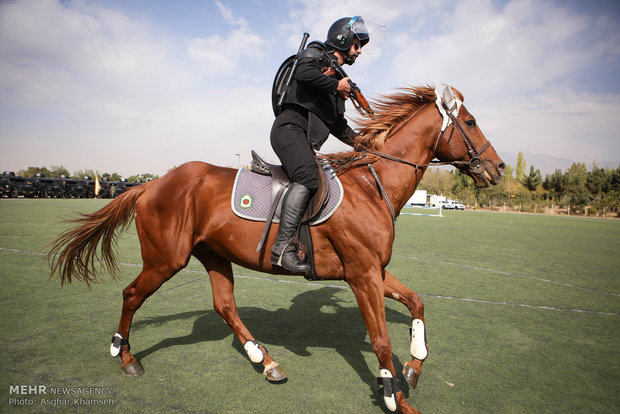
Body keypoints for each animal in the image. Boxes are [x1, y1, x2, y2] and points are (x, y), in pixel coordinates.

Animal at [48, 85, 504, 414]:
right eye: (470, 121)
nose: (497, 168)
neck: (371, 185)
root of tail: (151, 184)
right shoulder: (362, 276)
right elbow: (379, 340)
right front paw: (396, 396)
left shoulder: (374, 270)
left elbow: (416, 302)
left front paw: (412, 366)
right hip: (165, 260)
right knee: (131, 294)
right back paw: (124, 356)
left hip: (214, 256)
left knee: (224, 306)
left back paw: (264, 361)